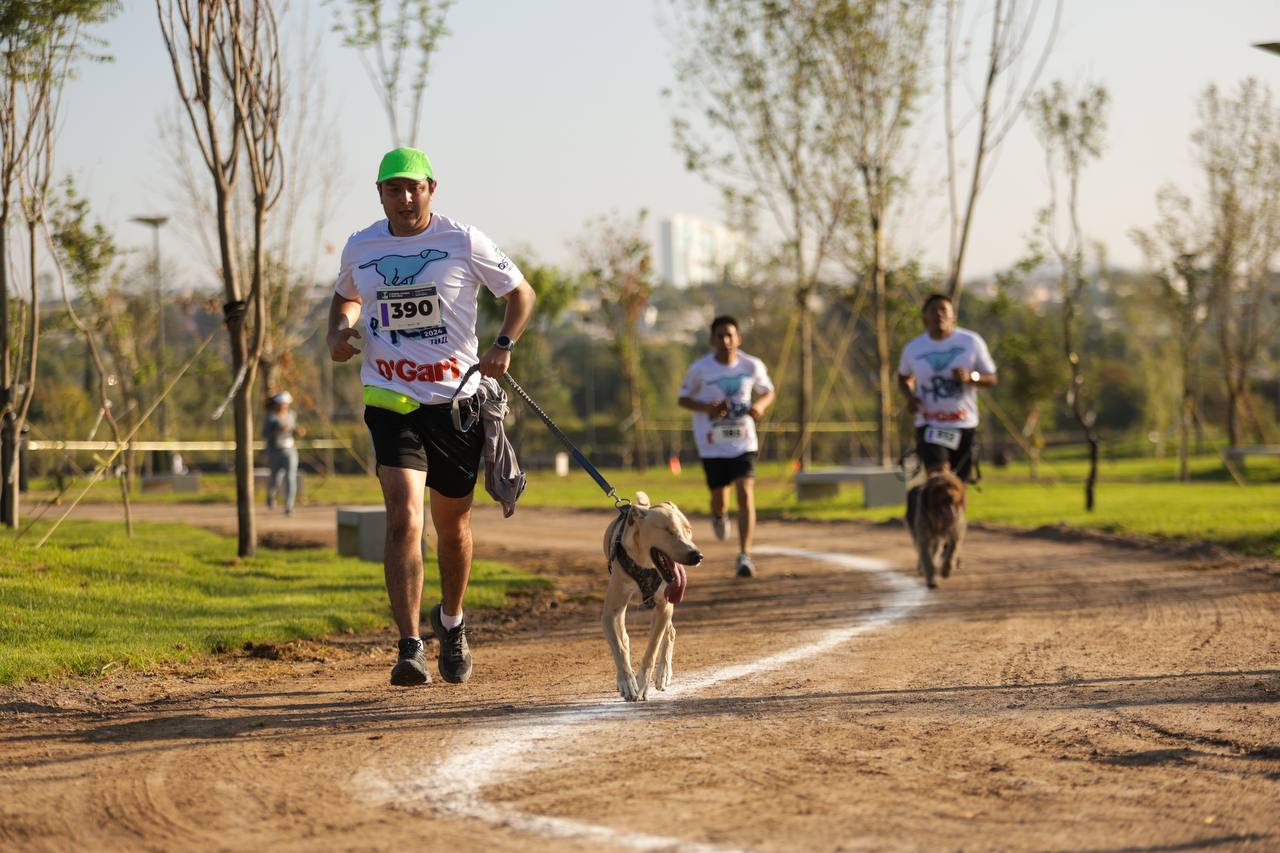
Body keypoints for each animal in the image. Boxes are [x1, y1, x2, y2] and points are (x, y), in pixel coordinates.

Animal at [601, 491, 706, 696]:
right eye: (668, 530)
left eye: (689, 529)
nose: (697, 555)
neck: (645, 564)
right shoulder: (611, 612)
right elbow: (619, 645)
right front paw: (626, 681)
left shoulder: (664, 607)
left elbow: (652, 647)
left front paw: (642, 683)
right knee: (624, 637)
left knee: (670, 632)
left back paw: (663, 674)